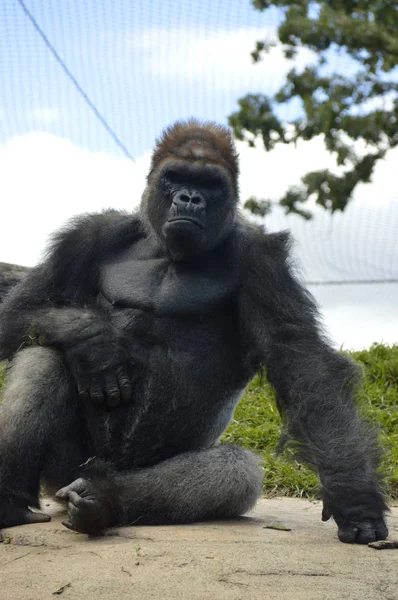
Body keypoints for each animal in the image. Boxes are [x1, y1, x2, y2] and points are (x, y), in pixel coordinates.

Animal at [0, 119, 388, 540]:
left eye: (209, 183)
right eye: (176, 177)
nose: (189, 199)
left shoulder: (263, 260)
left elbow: (301, 363)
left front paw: (355, 498)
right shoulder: (88, 235)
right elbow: (15, 315)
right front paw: (91, 339)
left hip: (97, 474)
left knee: (235, 471)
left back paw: (104, 501)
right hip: (62, 474)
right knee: (44, 355)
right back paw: (12, 503)